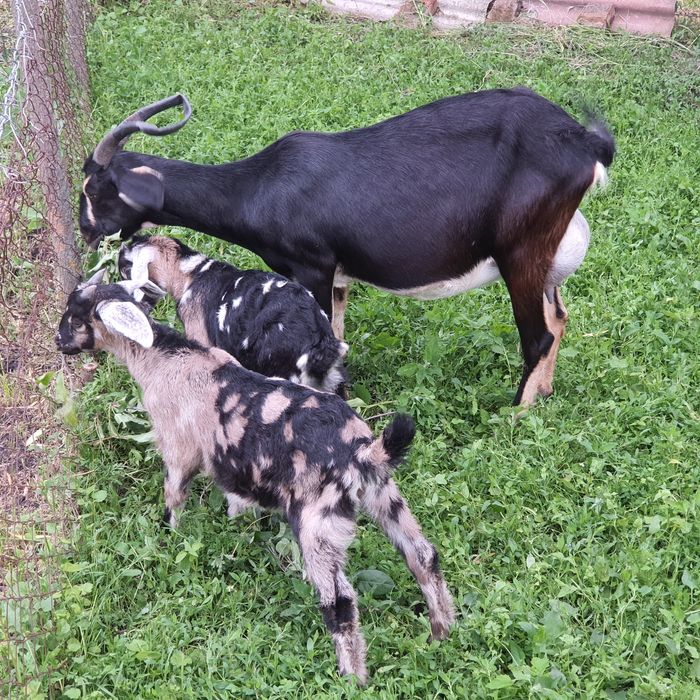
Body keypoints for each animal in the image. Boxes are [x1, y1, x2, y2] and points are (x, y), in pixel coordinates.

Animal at [55, 271, 455, 684]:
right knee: (422, 554)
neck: (164, 359)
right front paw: (237, 522)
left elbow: (174, 495)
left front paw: (169, 534)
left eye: (76, 316)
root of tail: (361, 452)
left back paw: (352, 677)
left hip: (317, 521)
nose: (59, 342)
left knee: (339, 600)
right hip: (384, 494)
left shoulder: (178, 448)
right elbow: (235, 496)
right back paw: (442, 631)